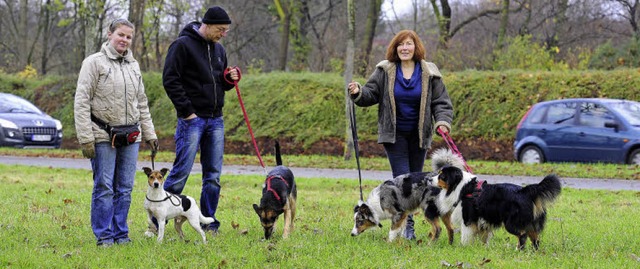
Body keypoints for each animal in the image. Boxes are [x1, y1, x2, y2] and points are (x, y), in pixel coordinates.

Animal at [432, 164, 564, 250]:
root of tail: (525, 191)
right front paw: (483, 248)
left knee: (523, 235)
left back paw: (518, 250)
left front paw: (463, 248)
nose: (428, 178)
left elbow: (465, 236)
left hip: (512, 223)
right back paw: (533, 252)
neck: (461, 187)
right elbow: (484, 238)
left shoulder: (468, 219)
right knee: (535, 237)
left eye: (441, 176)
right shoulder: (482, 222)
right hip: (530, 222)